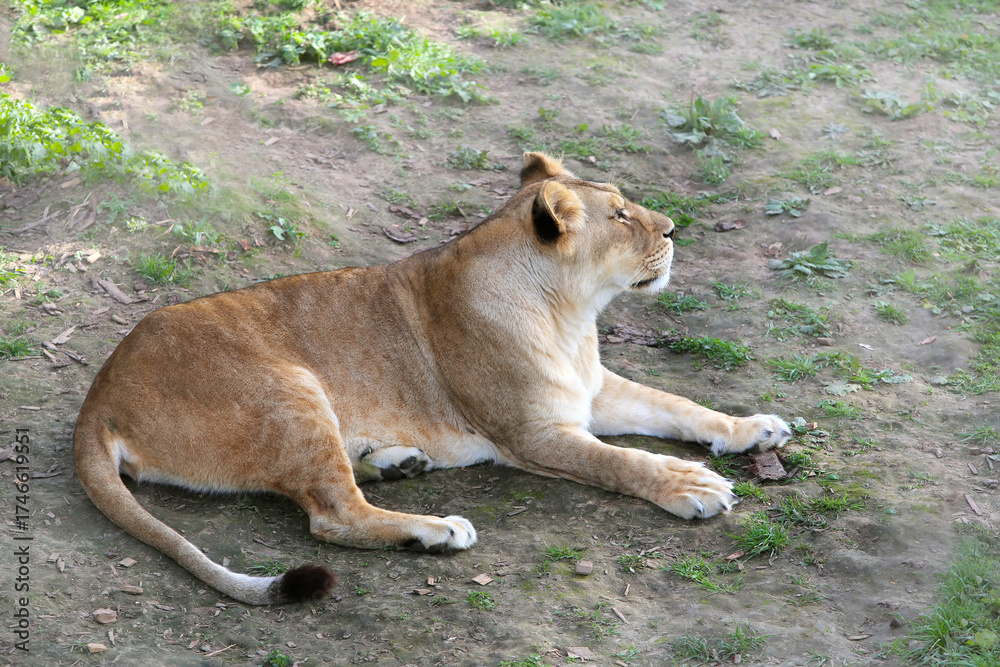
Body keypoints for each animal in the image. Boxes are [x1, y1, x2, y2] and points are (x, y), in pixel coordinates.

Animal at [74, 152, 791, 605]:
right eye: (619, 216)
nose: (672, 230)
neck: (570, 314)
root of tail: (99, 396)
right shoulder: (534, 434)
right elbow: (625, 462)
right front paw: (691, 486)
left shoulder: (593, 392)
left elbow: (679, 405)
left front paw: (753, 428)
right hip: (291, 388)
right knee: (333, 517)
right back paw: (436, 528)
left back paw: (396, 462)